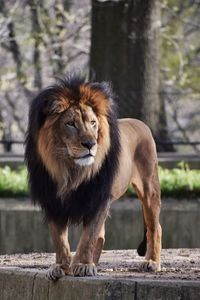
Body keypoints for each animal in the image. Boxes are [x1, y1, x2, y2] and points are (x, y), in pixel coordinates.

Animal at [25, 73, 162, 278]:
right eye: (70, 124)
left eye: (93, 123)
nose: (90, 144)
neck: (70, 170)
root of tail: (140, 123)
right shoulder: (53, 201)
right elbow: (59, 239)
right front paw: (61, 266)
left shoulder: (98, 198)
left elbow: (88, 236)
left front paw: (82, 264)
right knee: (102, 236)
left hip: (149, 188)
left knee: (155, 226)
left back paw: (152, 262)